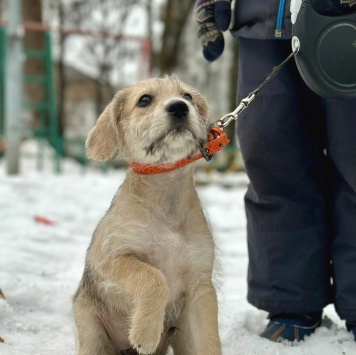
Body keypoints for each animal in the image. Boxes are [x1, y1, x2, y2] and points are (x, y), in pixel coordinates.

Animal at [73, 76, 221, 355]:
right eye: (144, 100)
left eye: (187, 96)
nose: (179, 107)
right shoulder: (110, 258)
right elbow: (153, 276)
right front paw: (145, 332)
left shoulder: (201, 289)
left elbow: (209, 342)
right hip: (91, 332)